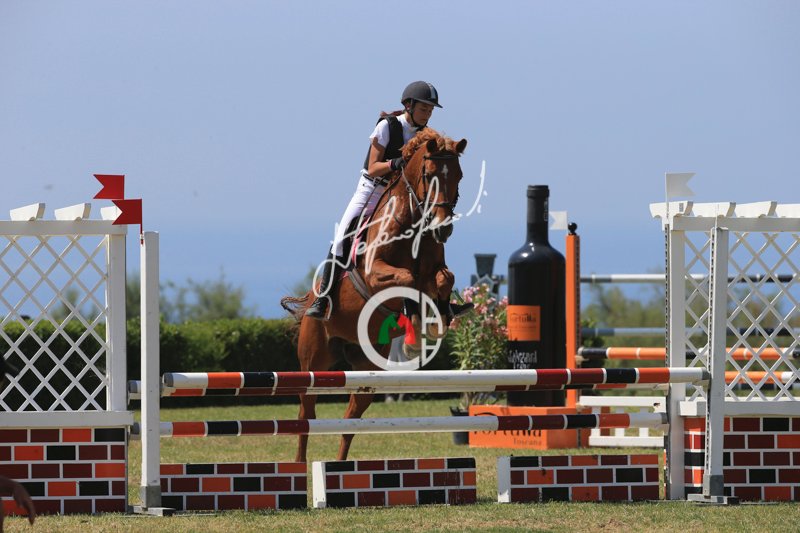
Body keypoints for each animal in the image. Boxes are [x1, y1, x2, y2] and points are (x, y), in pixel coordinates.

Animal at [281, 129, 467, 462]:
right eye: (429, 174)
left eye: (458, 176)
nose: (442, 229)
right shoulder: (374, 274)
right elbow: (407, 279)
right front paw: (412, 332)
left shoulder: (435, 271)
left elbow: (444, 279)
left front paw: (436, 320)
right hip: (313, 362)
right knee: (306, 415)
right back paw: (300, 464)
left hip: (368, 370)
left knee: (350, 421)